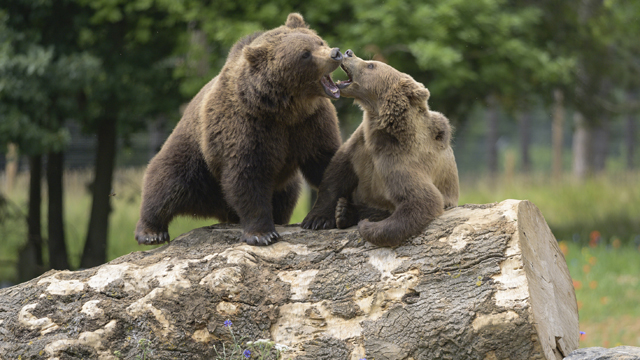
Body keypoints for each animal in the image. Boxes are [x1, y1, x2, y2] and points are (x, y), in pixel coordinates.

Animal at [136, 13, 344, 245]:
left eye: (319, 41)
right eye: (305, 54)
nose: (335, 53)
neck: (285, 109)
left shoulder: (311, 123)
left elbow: (326, 161)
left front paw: (322, 218)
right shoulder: (248, 126)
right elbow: (247, 175)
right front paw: (262, 234)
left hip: (283, 183)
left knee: (285, 197)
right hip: (196, 158)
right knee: (167, 182)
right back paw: (151, 232)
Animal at [302, 49, 460, 248]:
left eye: (371, 65)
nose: (348, 52)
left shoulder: (401, 158)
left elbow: (421, 200)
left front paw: (367, 227)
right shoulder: (359, 145)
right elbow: (335, 176)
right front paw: (316, 219)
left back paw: (347, 212)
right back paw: (342, 211)